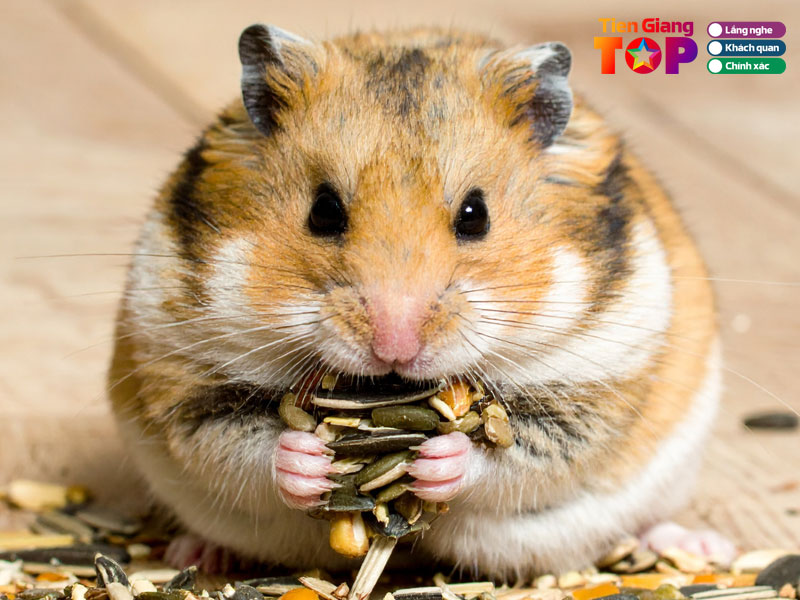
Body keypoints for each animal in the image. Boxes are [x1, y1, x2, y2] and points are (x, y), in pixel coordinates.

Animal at [108, 25, 731, 578]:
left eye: (475, 215)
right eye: (323, 211)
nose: (394, 347)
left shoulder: (593, 390)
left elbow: (511, 454)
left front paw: (436, 460)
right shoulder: (186, 376)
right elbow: (241, 445)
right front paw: (309, 461)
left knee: (645, 523)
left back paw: (701, 546)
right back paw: (192, 553)